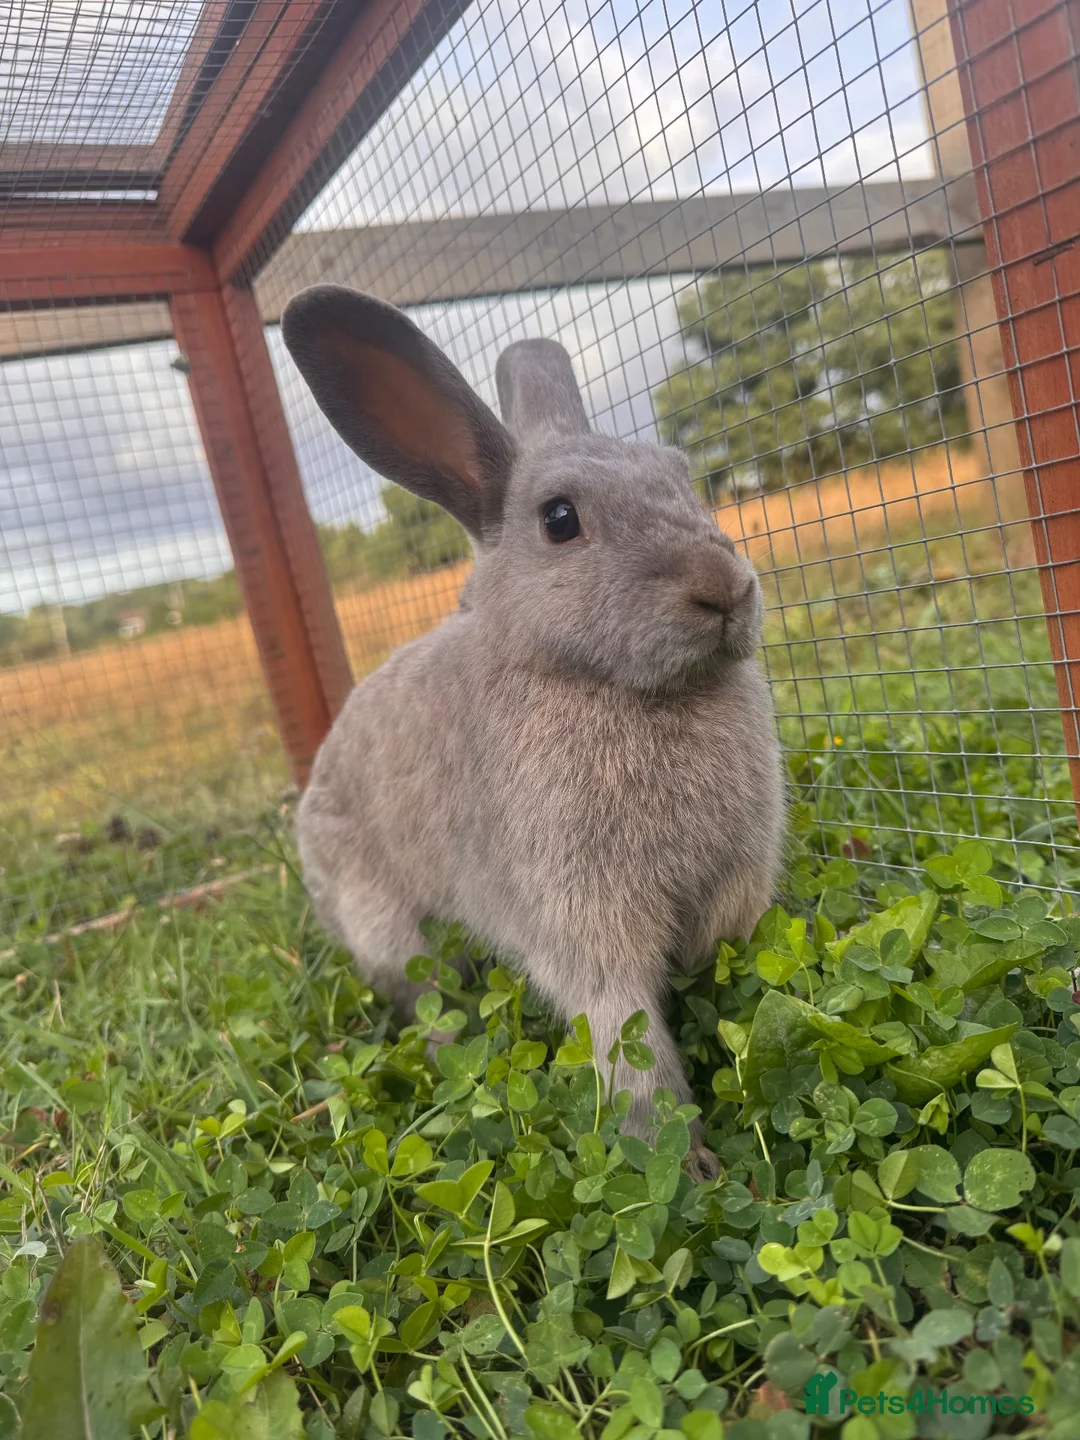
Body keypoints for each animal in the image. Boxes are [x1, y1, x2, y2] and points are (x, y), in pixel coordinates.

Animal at [281, 286, 785, 1179]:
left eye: (682, 477)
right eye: (559, 520)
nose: (724, 588)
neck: (617, 688)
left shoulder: (731, 892)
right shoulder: (584, 929)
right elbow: (627, 1040)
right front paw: (684, 1161)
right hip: (391, 926)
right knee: (424, 996)